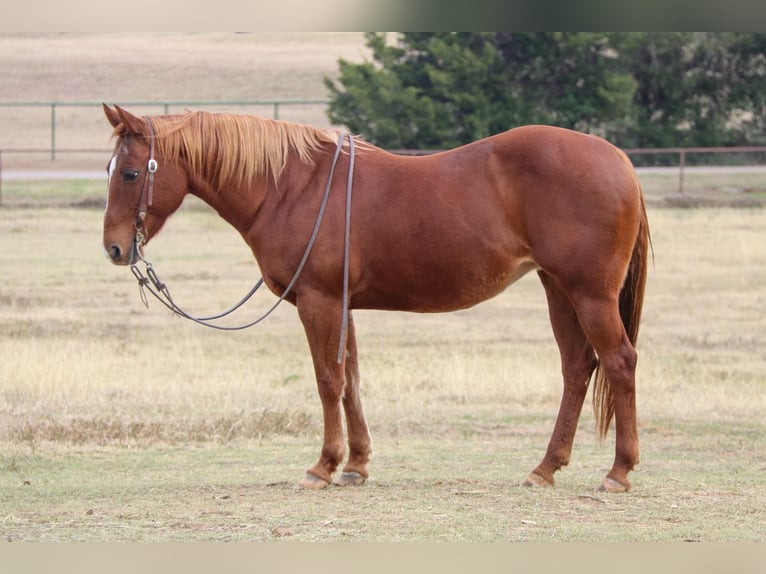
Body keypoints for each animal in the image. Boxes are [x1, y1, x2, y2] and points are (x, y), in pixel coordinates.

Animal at [100, 104, 656, 496]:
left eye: (129, 173)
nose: (114, 248)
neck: (292, 188)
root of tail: (618, 160)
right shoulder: (341, 305)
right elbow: (350, 381)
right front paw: (356, 465)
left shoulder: (319, 302)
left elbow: (327, 381)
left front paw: (322, 466)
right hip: (558, 290)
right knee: (577, 368)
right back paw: (545, 468)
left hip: (589, 294)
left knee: (619, 362)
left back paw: (618, 471)